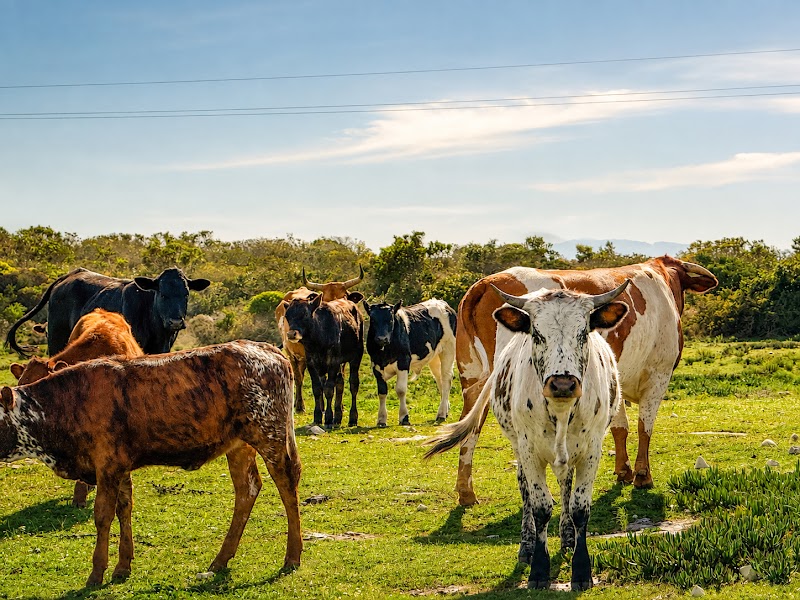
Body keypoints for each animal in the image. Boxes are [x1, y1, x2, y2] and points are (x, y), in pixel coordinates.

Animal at [0, 340, 301, 587]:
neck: (68, 402)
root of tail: (267, 349)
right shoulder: (119, 467)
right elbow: (124, 509)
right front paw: (122, 566)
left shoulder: (107, 467)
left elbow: (103, 516)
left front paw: (97, 573)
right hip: (239, 446)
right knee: (247, 491)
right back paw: (221, 559)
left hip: (271, 437)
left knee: (287, 485)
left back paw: (292, 556)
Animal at [275, 266, 364, 413]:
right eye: (325, 299)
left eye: (345, 296)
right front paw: (322, 406)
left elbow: (339, 379)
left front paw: (339, 406)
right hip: (291, 353)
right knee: (298, 378)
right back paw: (300, 405)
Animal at [363, 298, 457, 427]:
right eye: (372, 320)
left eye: (391, 319)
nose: (382, 339)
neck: (385, 352)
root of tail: (441, 303)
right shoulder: (376, 365)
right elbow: (382, 392)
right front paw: (381, 419)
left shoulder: (403, 362)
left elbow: (401, 390)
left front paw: (404, 417)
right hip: (434, 356)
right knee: (439, 378)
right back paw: (445, 410)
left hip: (448, 348)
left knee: (446, 378)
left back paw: (441, 414)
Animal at [425, 283, 629, 591]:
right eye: (537, 333)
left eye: (583, 333)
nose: (563, 384)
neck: (560, 410)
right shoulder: (530, 451)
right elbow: (540, 506)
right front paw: (539, 570)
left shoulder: (591, 450)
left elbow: (579, 508)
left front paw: (581, 570)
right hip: (519, 447)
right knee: (525, 491)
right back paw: (527, 545)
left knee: (565, 486)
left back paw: (567, 537)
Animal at [451, 256, 718, 505]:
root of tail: (483, 284)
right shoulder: (658, 375)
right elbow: (645, 427)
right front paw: (643, 475)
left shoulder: (614, 380)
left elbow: (620, 427)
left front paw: (624, 471)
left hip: (471, 378)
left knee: (470, 427)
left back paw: (466, 492)